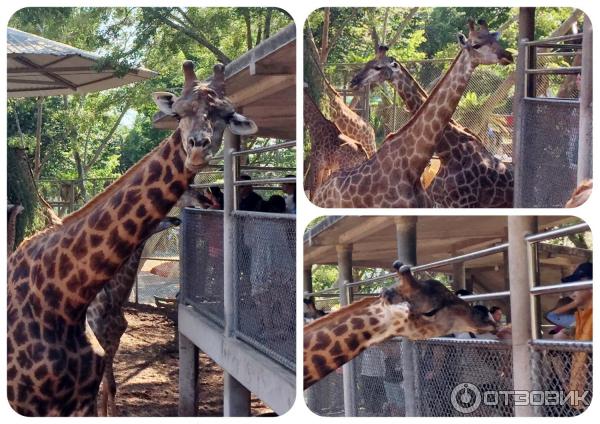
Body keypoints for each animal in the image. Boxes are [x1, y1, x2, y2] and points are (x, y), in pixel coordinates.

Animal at [86, 217, 180, 416]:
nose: (176, 219)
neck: (116, 296)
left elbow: (108, 387)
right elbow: (108, 386)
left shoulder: (114, 343)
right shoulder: (103, 342)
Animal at [312, 19, 512, 209]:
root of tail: (321, 193)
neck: (449, 151)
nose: (508, 55)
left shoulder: (457, 202)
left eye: (377, 67)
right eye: (477, 44)